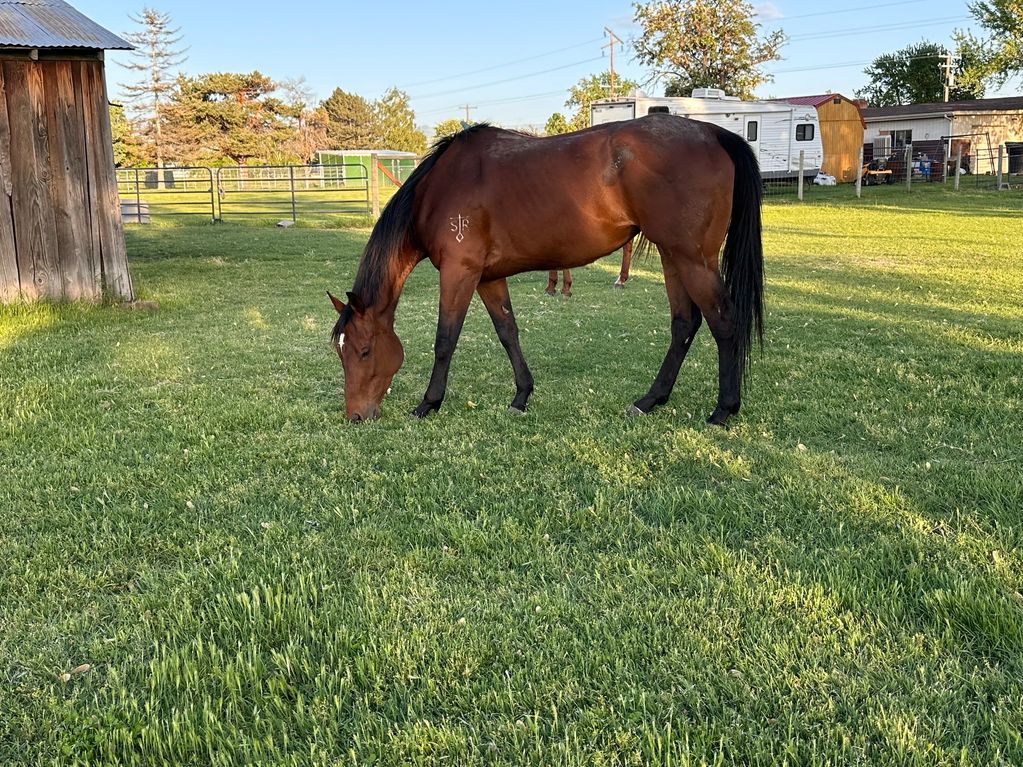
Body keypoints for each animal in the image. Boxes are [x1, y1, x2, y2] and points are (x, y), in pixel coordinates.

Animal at [328, 114, 763, 424]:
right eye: (340, 352)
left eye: (364, 351)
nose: (356, 416)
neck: (438, 190)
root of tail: (713, 133)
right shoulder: (488, 278)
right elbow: (508, 332)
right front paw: (521, 396)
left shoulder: (458, 272)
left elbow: (445, 340)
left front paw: (428, 404)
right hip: (673, 256)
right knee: (684, 323)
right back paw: (650, 400)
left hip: (692, 259)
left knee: (724, 321)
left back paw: (723, 410)